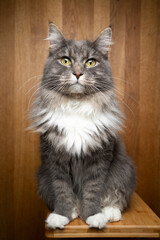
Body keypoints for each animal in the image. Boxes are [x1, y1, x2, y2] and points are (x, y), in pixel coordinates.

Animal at [29, 23, 135, 231]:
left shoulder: (100, 157)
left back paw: (110, 212)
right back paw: (74, 209)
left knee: (115, 195)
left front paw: (94, 215)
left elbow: (93, 190)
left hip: (124, 170)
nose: (77, 73)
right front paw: (62, 215)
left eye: (91, 62)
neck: (76, 106)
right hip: (42, 177)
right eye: (65, 60)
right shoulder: (55, 158)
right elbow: (61, 190)